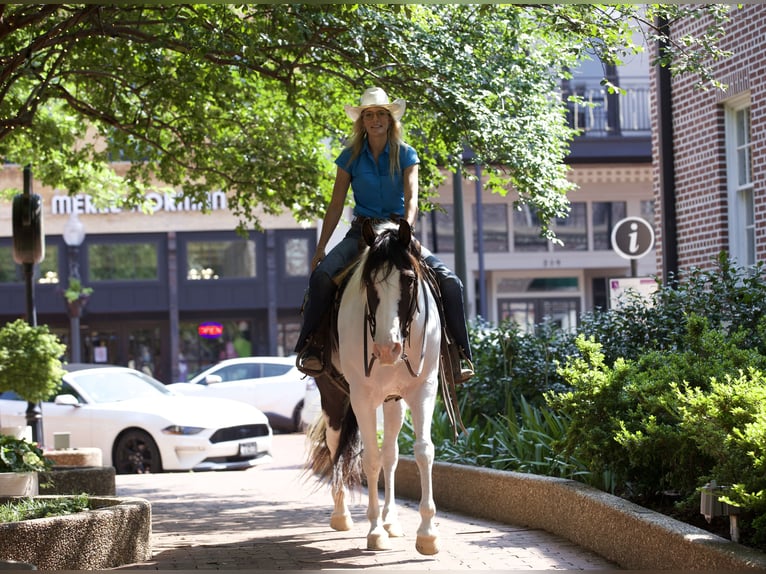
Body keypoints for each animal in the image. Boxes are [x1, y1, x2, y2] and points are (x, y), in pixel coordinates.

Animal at [306, 218, 444, 556]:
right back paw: (342, 515)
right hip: (333, 398)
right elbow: (368, 459)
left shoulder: (424, 389)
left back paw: (391, 520)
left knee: (390, 455)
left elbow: (423, 451)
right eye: (368, 283)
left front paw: (427, 533)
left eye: (409, 280)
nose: (386, 349)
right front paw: (374, 531)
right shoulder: (362, 397)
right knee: (335, 446)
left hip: (393, 402)